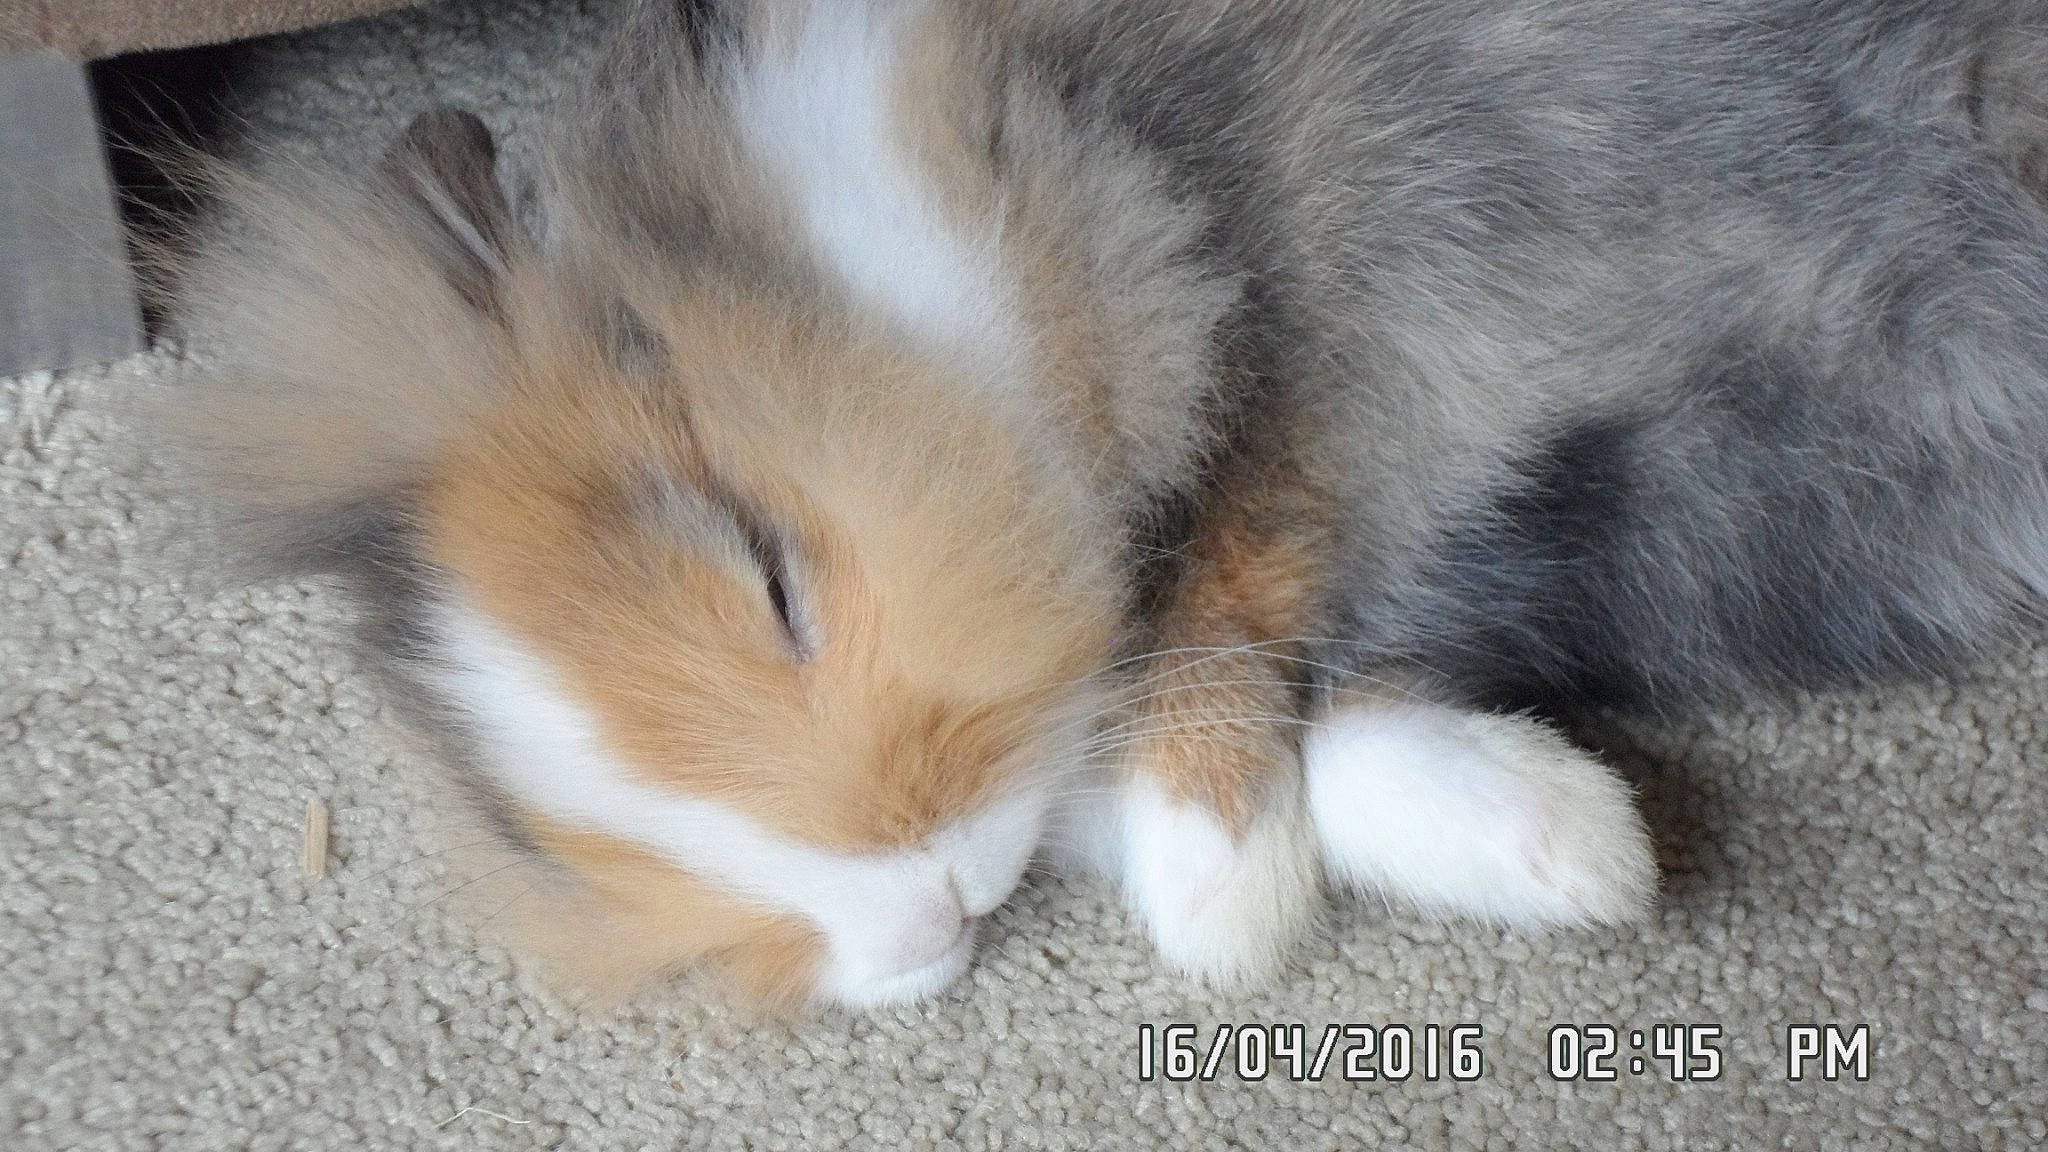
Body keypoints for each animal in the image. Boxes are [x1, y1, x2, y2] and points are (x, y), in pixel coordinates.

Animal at [160, 0, 2048, 1009]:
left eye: (767, 573)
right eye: (558, 850)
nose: (920, 916)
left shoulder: (1265, 345)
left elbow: (1224, 574)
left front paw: (1224, 900)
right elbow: (1295, 710)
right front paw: (1566, 847)